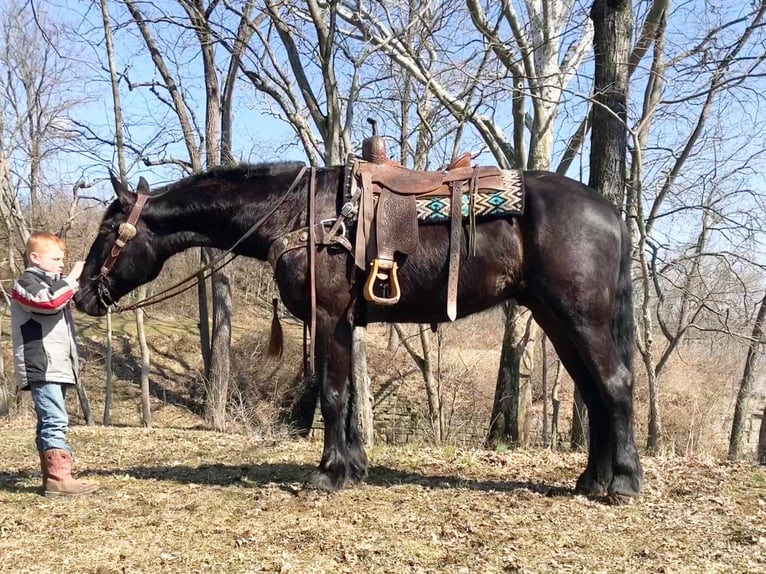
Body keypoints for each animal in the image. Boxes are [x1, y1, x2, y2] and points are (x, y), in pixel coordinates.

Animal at [75, 163, 644, 500]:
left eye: (108, 229)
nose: (80, 295)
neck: (299, 214)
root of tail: (611, 212)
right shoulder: (347, 323)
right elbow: (347, 396)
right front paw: (353, 465)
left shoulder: (329, 317)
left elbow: (330, 393)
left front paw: (327, 473)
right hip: (556, 319)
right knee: (594, 392)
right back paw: (591, 480)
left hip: (579, 317)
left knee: (614, 386)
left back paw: (623, 482)